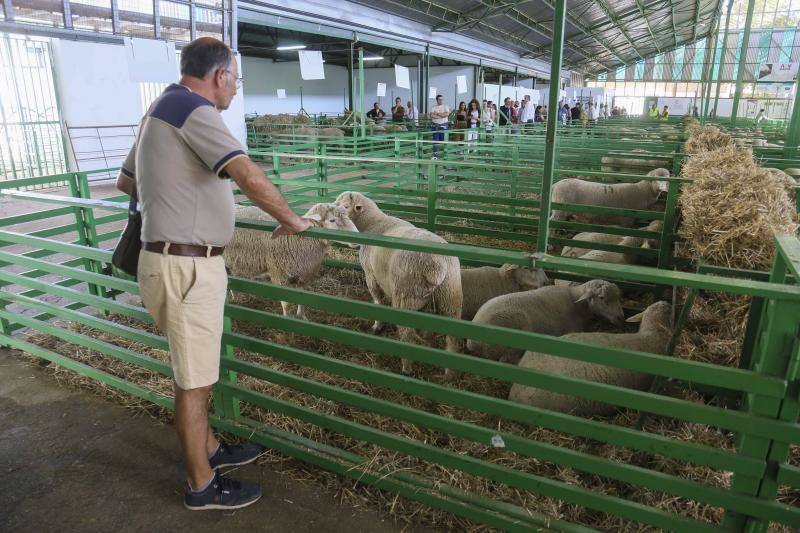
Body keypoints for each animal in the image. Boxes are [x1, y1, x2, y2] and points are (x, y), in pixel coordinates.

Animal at [228, 204, 360, 320]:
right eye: (332, 220)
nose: (357, 239)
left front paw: (302, 316)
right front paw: (288, 319)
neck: (298, 239)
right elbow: (286, 303)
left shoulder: (304, 274)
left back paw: (235, 297)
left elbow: (301, 298)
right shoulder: (279, 274)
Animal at [332, 191, 462, 374]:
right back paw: (449, 372)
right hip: (451, 296)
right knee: (453, 337)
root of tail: (437, 265)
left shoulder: (371, 274)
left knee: (407, 334)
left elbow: (377, 300)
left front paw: (377, 326)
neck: (372, 223)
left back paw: (406, 368)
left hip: (405, 294)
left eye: (345, 206)